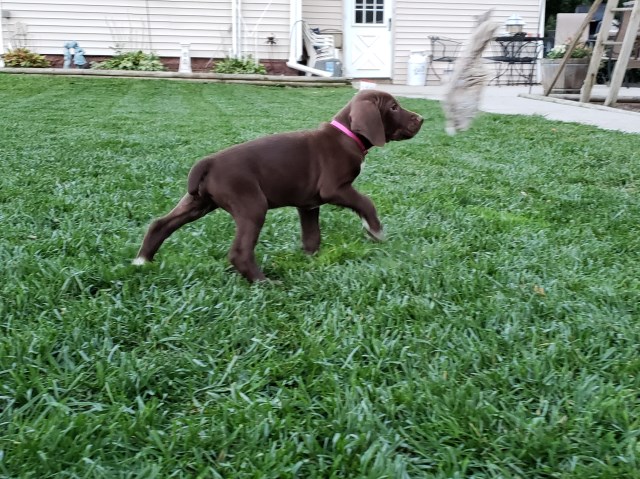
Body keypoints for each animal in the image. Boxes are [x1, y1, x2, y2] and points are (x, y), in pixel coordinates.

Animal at [132, 90, 422, 282]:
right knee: (239, 252)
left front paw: (311, 260)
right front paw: (375, 231)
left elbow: (312, 236)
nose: (421, 119)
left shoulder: (308, 205)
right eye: (394, 107)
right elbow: (366, 202)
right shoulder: (334, 189)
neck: (347, 135)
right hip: (251, 205)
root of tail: (208, 162)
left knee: (160, 224)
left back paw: (142, 260)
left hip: (198, 202)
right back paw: (263, 282)